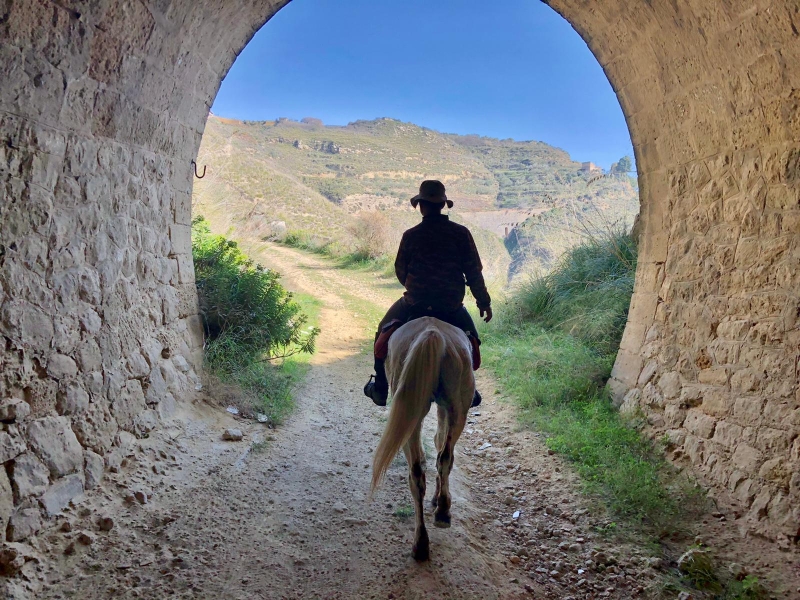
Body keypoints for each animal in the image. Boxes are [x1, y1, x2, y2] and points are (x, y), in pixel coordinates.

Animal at [370, 316, 476, 560]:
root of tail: (432, 332)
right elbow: (440, 445)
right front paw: (438, 500)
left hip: (414, 411)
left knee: (421, 469)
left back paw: (423, 540)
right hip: (454, 410)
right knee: (441, 459)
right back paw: (440, 516)